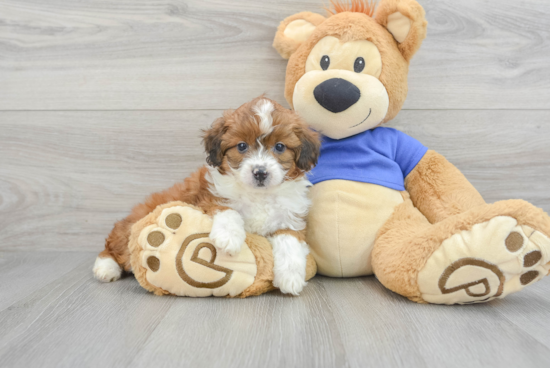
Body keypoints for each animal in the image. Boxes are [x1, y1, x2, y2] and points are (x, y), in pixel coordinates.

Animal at [92, 96, 322, 294]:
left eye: (280, 147)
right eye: (242, 146)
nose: (260, 172)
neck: (258, 194)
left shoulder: (290, 218)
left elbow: (290, 241)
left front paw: (290, 278)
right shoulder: (208, 198)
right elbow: (228, 210)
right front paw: (229, 237)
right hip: (133, 226)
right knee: (115, 247)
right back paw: (105, 267)